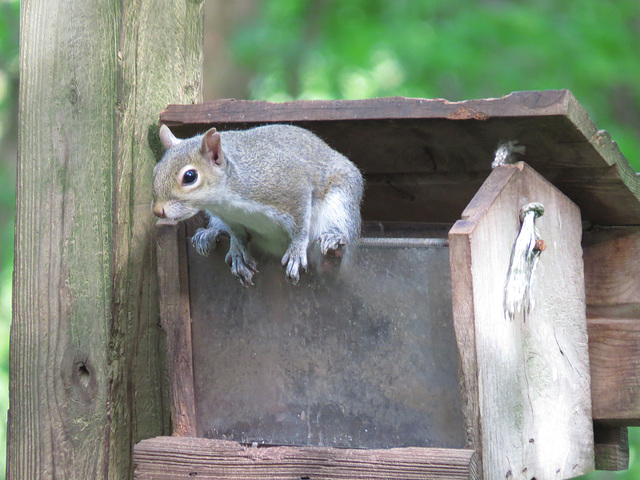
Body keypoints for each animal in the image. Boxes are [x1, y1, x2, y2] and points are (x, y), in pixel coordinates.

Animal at [152, 124, 362, 284]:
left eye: (190, 176)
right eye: (155, 170)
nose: (157, 211)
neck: (228, 202)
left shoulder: (292, 185)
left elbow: (300, 224)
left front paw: (296, 251)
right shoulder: (229, 217)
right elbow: (237, 235)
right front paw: (237, 251)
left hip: (341, 200)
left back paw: (333, 237)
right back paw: (210, 234)